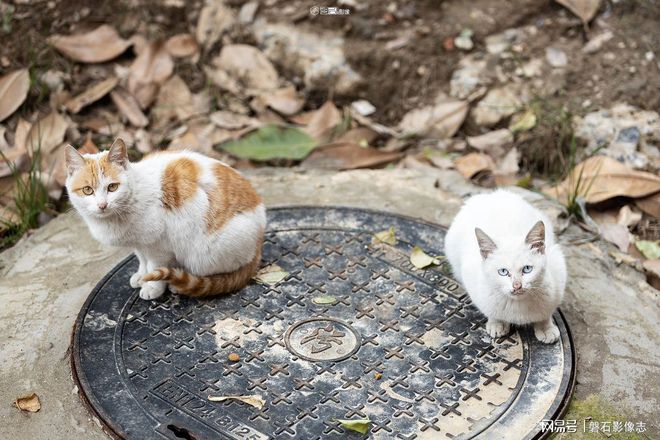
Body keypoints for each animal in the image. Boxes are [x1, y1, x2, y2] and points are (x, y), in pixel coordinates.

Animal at [63, 139, 266, 300]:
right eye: (87, 190)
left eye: (112, 187)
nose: (102, 205)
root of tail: (259, 242)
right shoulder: (140, 244)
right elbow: (142, 260)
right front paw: (141, 275)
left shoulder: (158, 246)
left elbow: (154, 267)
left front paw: (152, 286)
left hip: (203, 255)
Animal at [444, 189, 568, 344]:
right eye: (503, 271)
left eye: (527, 269)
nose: (517, 286)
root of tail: (490, 194)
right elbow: (491, 311)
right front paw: (497, 323)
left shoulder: (558, 272)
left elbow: (546, 313)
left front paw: (545, 327)